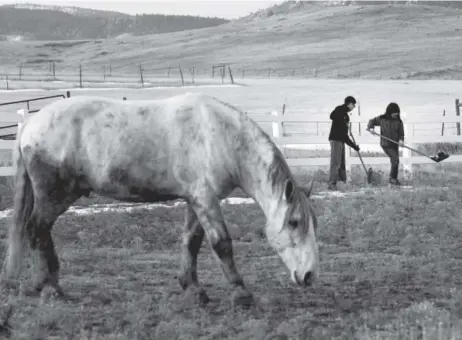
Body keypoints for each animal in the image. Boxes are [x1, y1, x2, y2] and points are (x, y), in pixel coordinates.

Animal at [0, 92, 318, 306]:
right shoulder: (206, 199)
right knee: (37, 230)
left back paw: (47, 284)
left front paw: (193, 289)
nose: (309, 275)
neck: (219, 135)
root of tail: (30, 124)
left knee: (40, 232)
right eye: (294, 222)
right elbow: (221, 244)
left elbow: (191, 242)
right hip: (53, 196)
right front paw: (241, 293)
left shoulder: (195, 200)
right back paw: (49, 288)